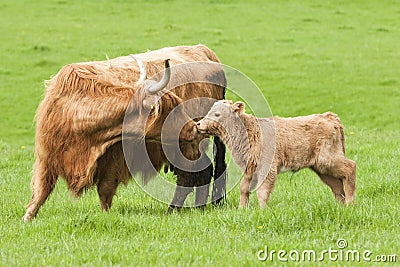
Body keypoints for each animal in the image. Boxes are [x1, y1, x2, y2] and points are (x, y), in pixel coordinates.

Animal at [23, 45, 227, 222]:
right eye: (171, 110)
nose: (194, 127)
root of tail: (204, 51)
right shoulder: (47, 157)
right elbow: (40, 191)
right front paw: (27, 218)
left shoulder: (115, 158)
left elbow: (104, 190)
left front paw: (105, 216)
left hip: (187, 147)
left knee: (195, 174)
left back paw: (175, 210)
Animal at [197, 100, 356, 209]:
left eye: (217, 114)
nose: (198, 124)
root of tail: (330, 116)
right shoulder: (250, 168)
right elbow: (244, 188)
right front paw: (242, 209)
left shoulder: (268, 168)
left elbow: (262, 190)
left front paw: (262, 210)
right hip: (322, 168)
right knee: (337, 186)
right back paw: (342, 207)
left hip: (328, 159)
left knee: (350, 168)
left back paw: (350, 203)